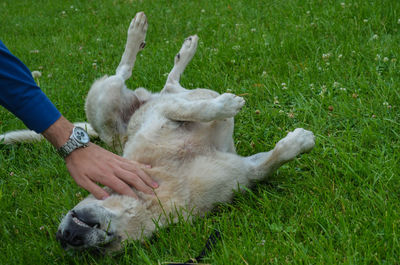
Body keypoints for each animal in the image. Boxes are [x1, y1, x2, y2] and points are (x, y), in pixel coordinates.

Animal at [1, 11, 318, 250]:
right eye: (97, 253)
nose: (67, 236)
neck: (157, 193)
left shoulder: (171, 117)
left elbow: (200, 112)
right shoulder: (244, 170)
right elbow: (270, 161)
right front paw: (299, 140)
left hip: (106, 97)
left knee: (142, 76)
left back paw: (156, 38)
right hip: (107, 102)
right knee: (151, 80)